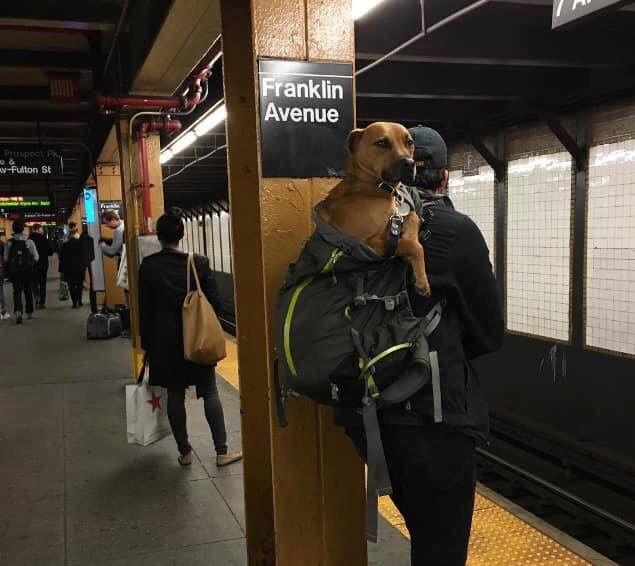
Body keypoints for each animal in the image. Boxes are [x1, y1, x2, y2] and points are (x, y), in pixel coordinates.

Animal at [316, 123, 432, 298]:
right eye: (382, 143)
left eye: (409, 142)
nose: (410, 163)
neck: (373, 187)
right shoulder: (368, 244)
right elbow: (414, 246)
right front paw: (422, 281)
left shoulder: (399, 215)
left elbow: (413, 217)